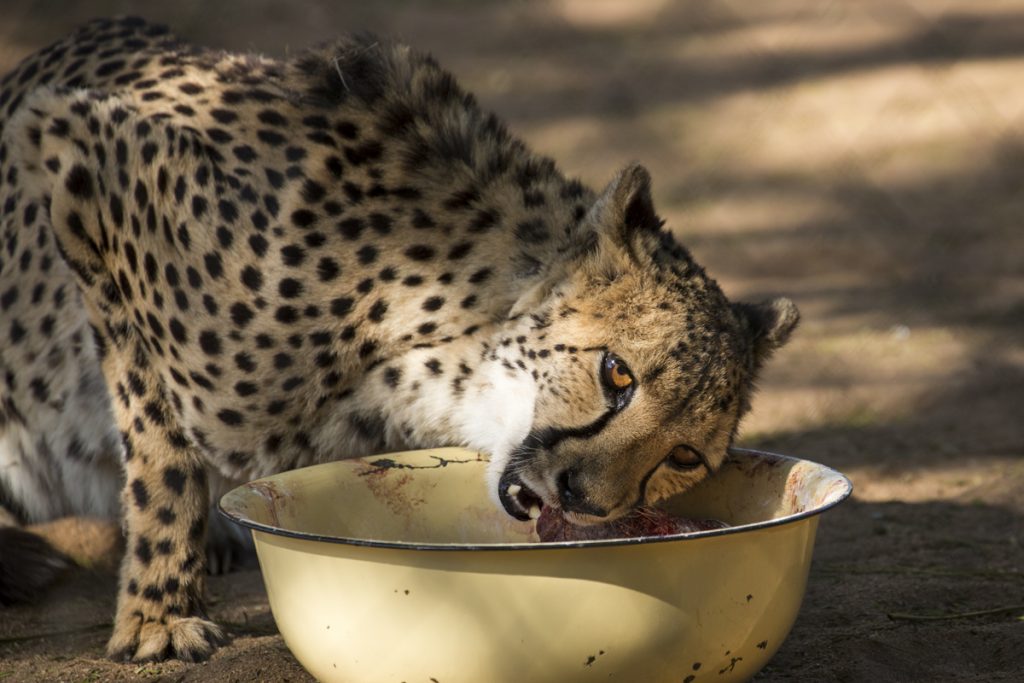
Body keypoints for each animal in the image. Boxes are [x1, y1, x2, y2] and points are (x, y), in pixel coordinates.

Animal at [0, 18, 798, 663]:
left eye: (685, 456)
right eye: (617, 373)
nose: (588, 499)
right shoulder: (72, 148)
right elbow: (159, 455)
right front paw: (158, 615)